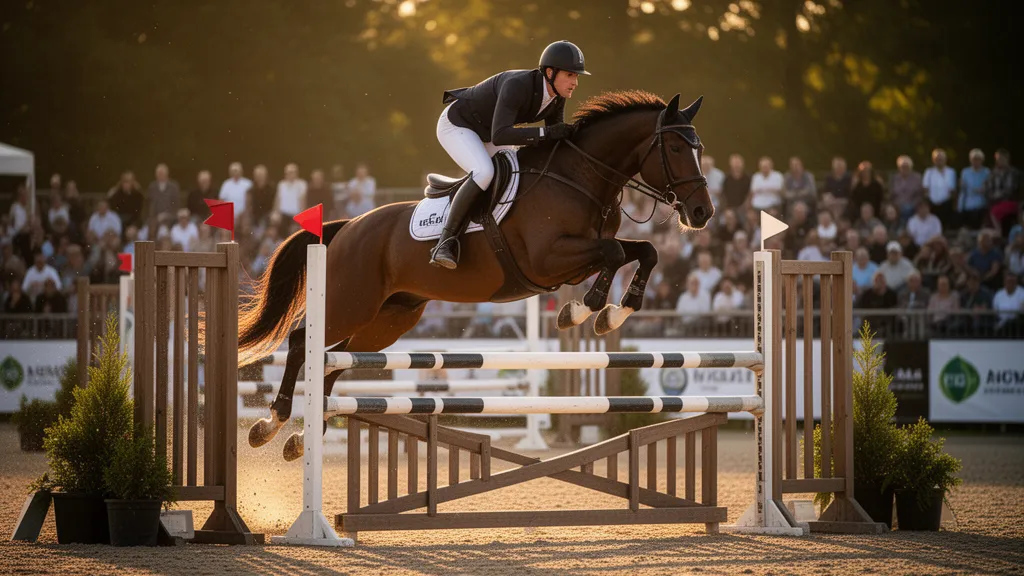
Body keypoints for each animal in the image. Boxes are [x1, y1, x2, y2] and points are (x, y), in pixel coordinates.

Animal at [239, 90, 714, 459]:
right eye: (675, 150)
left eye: (699, 149)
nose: (701, 213)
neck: (579, 176)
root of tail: (345, 227)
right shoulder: (548, 258)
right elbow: (614, 254)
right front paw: (586, 310)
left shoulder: (580, 254)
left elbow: (645, 251)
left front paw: (613, 311)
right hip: (350, 302)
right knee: (302, 343)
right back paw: (270, 423)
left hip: (388, 320)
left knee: (334, 359)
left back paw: (301, 437)